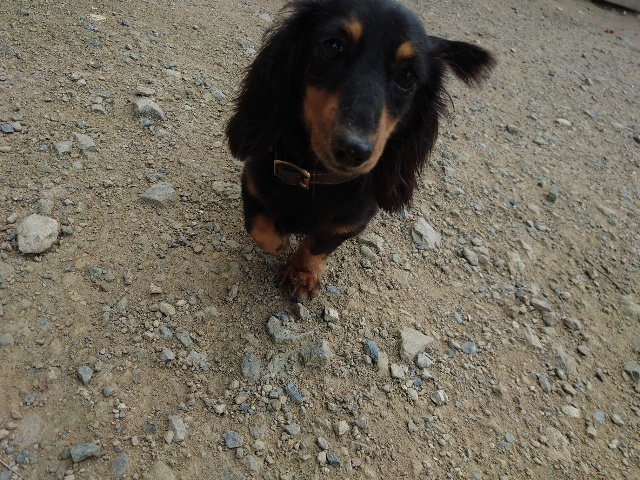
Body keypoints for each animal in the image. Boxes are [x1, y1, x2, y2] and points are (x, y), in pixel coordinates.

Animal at [226, 0, 495, 300]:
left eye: (408, 76)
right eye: (333, 47)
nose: (353, 150)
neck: (315, 177)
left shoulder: (350, 221)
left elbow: (318, 244)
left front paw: (302, 273)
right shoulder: (252, 183)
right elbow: (258, 228)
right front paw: (280, 240)